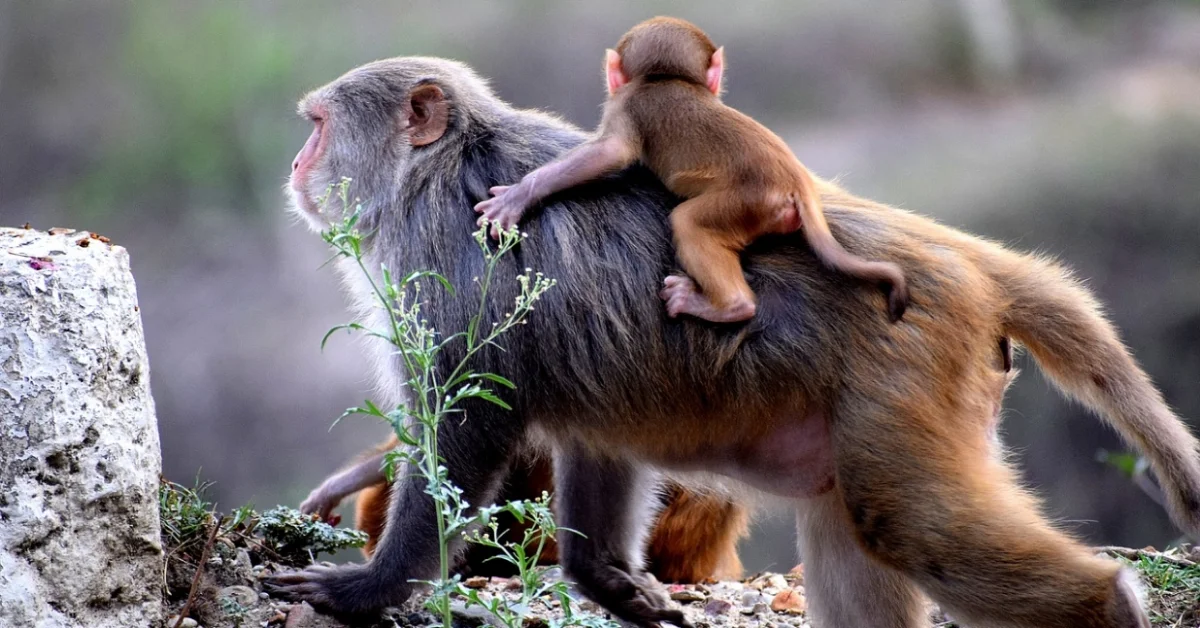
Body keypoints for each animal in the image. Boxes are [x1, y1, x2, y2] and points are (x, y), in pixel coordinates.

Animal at [474, 17, 908, 324]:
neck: (665, 78)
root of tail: (795, 183)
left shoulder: (626, 103)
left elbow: (611, 153)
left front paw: (520, 195)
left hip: (747, 203)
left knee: (689, 222)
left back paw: (729, 307)